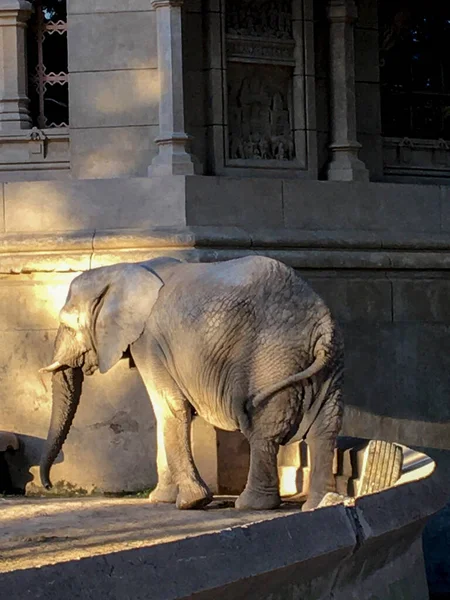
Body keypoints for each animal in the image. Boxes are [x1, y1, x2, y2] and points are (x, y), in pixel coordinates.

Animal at [40, 253, 342, 510]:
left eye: (68, 325)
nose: (48, 485)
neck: (125, 268)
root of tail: (322, 328)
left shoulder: (149, 343)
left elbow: (169, 409)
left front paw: (190, 502)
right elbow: (166, 413)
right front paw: (161, 499)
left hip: (270, 358)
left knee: (264, 429)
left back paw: (251, 505)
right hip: (326, 365)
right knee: (325, 428)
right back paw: (320, 503)